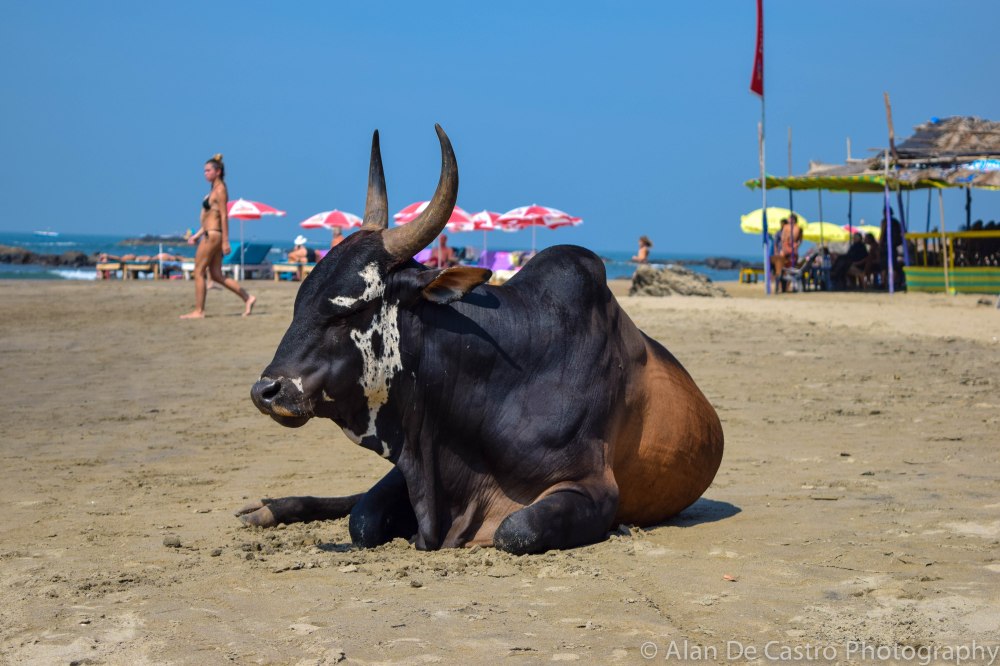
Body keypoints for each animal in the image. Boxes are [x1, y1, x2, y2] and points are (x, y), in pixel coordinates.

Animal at [240, 125, 724, 554]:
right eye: (300, 301)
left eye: (353, 307)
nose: (267, 390)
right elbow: (362, 518)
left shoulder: (594, 487)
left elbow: (516, 529)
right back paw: (265, 509)